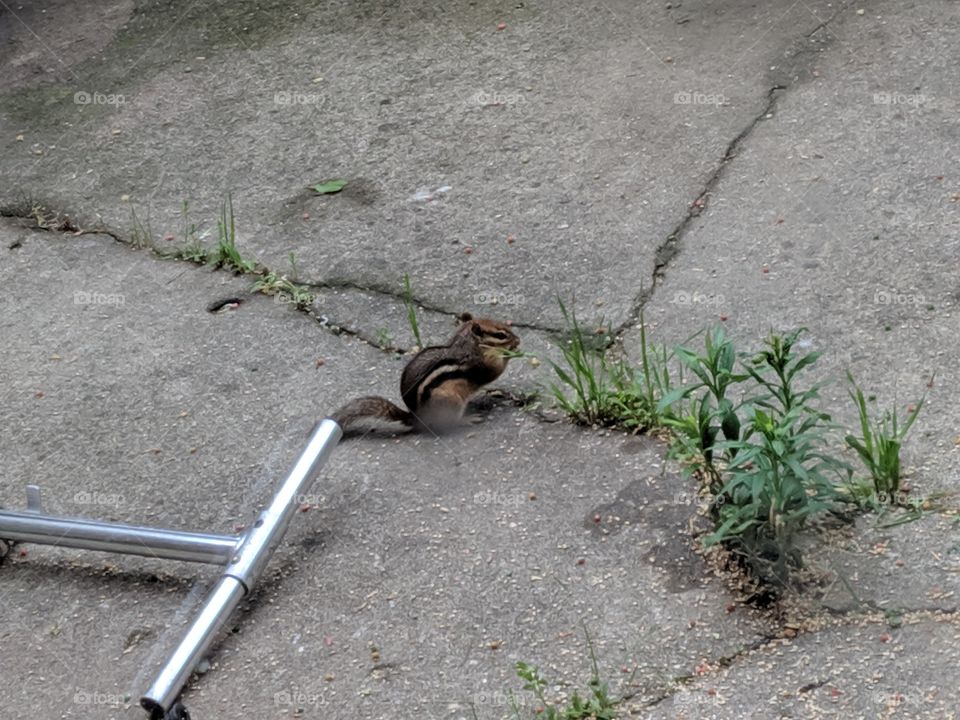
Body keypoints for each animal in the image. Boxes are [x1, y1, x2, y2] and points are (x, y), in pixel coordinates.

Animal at [331, 313, 520, 433]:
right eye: (501, 335)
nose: (518, 340)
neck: (467, 344)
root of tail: (418, 418)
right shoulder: (479, 365)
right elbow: (494, 371)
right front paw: (512, 354)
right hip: (451, 401)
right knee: (450, 423)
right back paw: (467, 419)